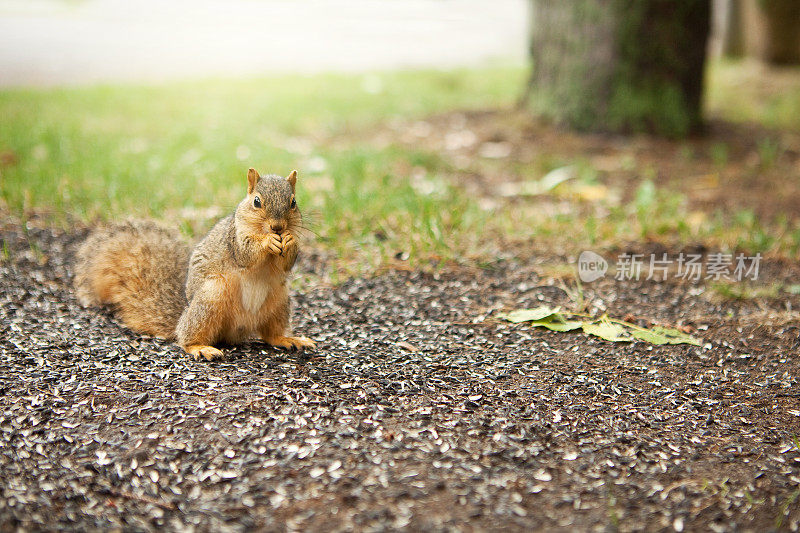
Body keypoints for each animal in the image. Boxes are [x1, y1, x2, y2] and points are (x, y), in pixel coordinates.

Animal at [72, 168, 316, 360]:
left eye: (293, 202)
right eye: (257, 202)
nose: (278, 227)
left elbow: (286, 264)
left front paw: (290, 241)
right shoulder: (234, 239)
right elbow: (246, 254)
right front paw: (267, 241)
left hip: (278, 301)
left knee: (270, 335)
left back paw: (288, 339)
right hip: (211, 297)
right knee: (186, 338)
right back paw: (200, 347)